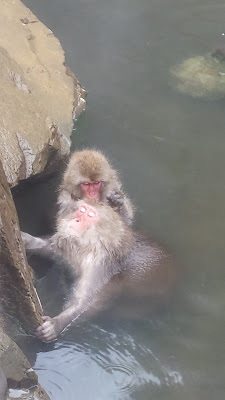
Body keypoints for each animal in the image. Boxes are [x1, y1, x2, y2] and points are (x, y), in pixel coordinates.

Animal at [22, 200, 174, 340]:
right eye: (82, 210)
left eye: (90, 215)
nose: (77, 219)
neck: (88, 248)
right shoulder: (68, 246)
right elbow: (47, 248)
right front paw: (27, 239)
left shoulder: (100, 269)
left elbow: (87, 302)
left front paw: (56, 324)